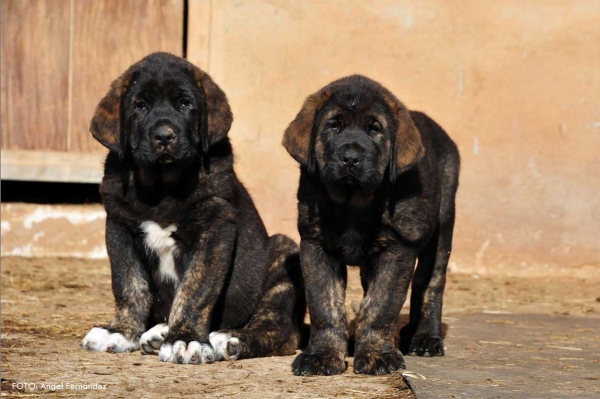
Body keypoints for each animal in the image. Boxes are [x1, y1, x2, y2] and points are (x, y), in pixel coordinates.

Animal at [80, 53, 304, 366]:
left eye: (185, 103)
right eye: (139, 105)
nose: (164, 136)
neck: (162, 187)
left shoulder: (215, 228)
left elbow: (195, 288)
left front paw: (185, 339)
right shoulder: (119, 226)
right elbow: (128, 284)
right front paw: (121, 332)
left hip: (283, 255)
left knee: (281, 329)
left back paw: (229, 339)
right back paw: (160, 331)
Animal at [282, 76, 460, 378]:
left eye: (375, 129)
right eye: (334, 125)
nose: (351, 157)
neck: (354, 203)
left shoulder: (398, 249)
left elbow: (381, 305)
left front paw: (377, 354)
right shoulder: (315, 245)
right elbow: (324, 305)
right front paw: (322, 355)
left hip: (442, 226)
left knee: (431, 283)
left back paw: (425, 337)